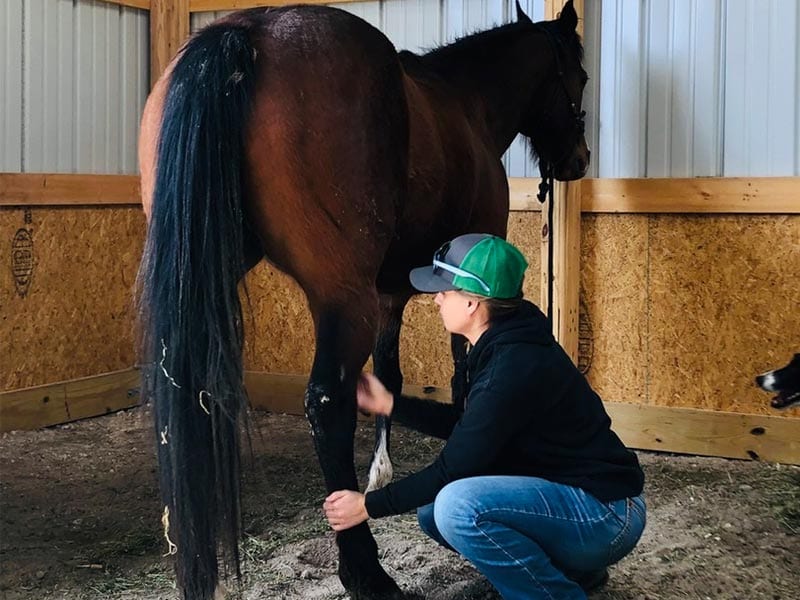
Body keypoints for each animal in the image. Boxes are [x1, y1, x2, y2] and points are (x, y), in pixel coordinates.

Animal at [136, 2, 588, 596]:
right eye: (580, 77)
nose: (580, 160)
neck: (466, 103)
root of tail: (246, 32)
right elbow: (462, 372)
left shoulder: (389, 293)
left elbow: (390, 374)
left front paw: (381, 470)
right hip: (340, 297)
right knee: (328, 403)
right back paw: (364, 569)